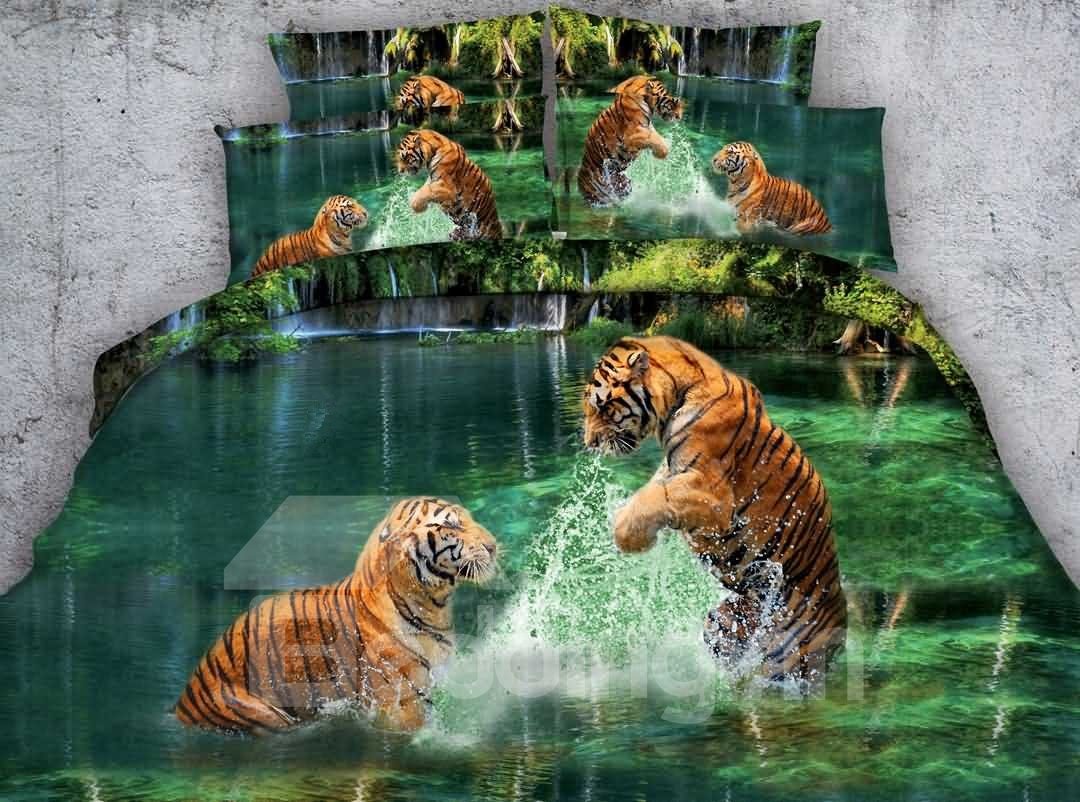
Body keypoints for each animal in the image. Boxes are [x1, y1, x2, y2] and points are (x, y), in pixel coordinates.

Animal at [577, 75, 684, 207]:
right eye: (670, 100)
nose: (679, 116)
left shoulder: (648, 128)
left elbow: (656, 137)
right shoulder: (631, 136)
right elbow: (653, 139)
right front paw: (661, 153)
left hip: (622, 182)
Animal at [582, 336, 846, 683]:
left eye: (602, 406)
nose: (588, 442)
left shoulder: (713, 494)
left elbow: (657, 497)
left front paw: (629, 537)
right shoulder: (673, 470)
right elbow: (653, 490)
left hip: (789, 660)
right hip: (726, 621)